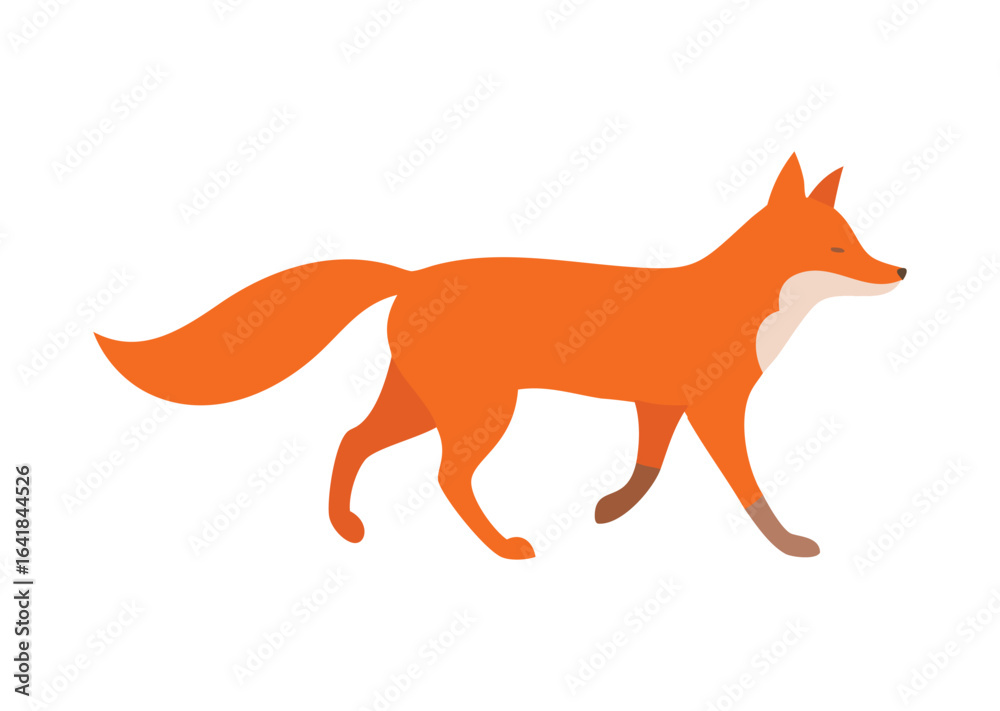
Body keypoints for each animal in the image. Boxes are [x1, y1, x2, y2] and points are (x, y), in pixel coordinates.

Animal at [96, 153, 905, 560]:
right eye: (839, 249)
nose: (898, 271)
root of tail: (412, 275)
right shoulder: (714, 410)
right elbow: (751, 490)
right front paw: (789, 544)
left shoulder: (658, 405)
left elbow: (647, 466)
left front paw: (612, 510)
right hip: (480, 411)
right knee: (447, 475)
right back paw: (503, 548)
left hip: (421, 404)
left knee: (353, 439)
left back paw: (346, 529)